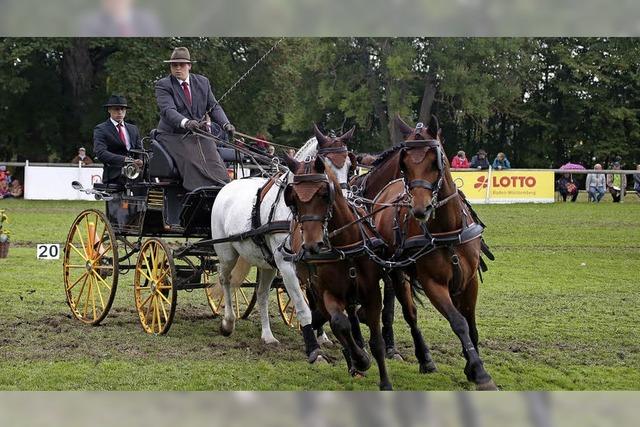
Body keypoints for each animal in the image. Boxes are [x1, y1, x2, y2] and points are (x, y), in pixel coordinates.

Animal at [212, 125, 358, 362]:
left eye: (350, 166)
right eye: (325, 166)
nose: (343, 206)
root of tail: (229, 184)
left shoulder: (313, 266)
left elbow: (318, 305)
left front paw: (323, 337)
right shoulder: (286, 265)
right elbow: (303, 307)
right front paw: (314, 349)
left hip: (267, 264)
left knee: (261, 294)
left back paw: (267, 336)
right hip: (227, 253)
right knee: (225, 280)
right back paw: (228, 322)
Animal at [282, 155, 392, 390]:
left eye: (324, 194)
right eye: (293, 198)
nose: (312, 245)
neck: (345, 245)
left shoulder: (372, 293)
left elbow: (376, 341)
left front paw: (385, 382)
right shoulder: (327, 292)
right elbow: (339, 323)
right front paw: (360, 360)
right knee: (332, 319)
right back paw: (353, 359)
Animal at [372, 120, 498, 392]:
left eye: (434, 161)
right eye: (404, 164)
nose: (421, 209)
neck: (448, 229)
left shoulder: (470, 281)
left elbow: (471, 323)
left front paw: (472, 366)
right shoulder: (433, 284)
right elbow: (459, 322)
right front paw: (480, 372)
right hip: (397, 273)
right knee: (410, 314)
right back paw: (425, 358)